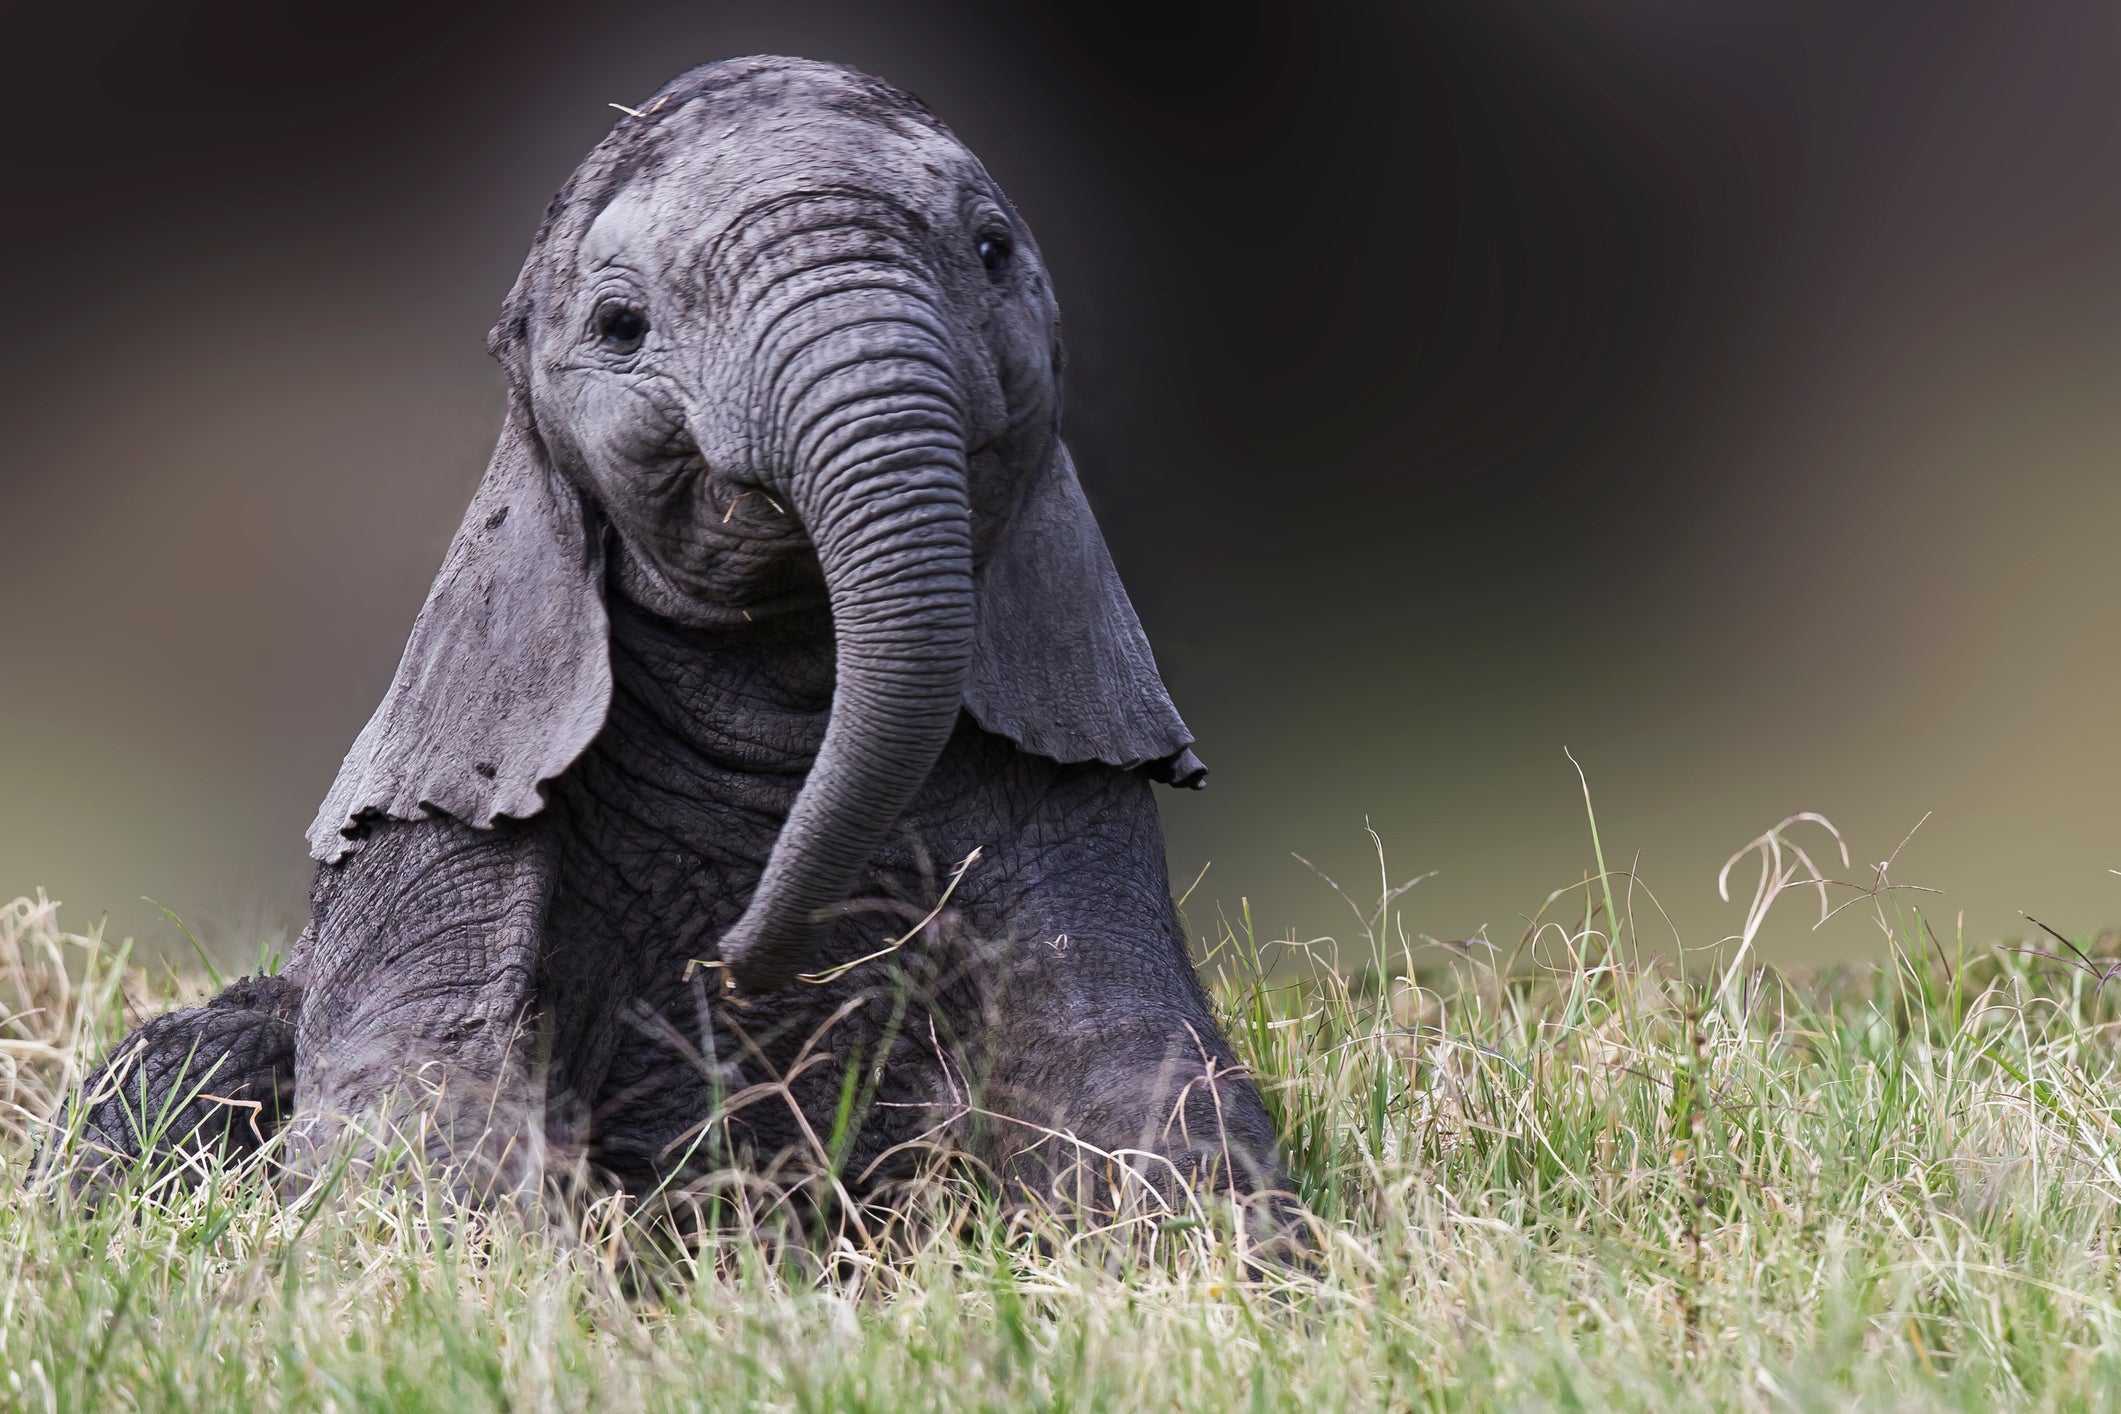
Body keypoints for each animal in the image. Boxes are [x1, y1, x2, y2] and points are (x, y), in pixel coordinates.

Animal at [51, 56, 1290, 1228]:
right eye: (620, 326)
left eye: (992, 252)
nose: (738, 959)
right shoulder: (432, 824)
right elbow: (416, 1106)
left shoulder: (1083, 793)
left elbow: (1142, 1083)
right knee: (198, 1063)